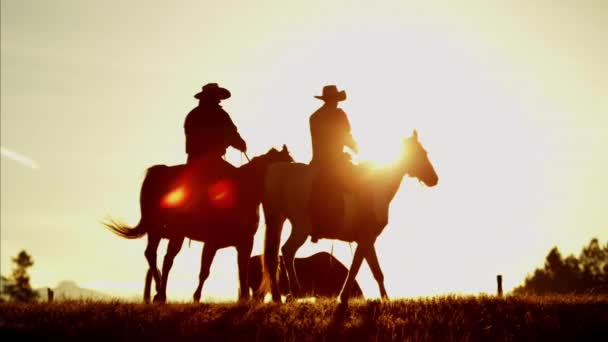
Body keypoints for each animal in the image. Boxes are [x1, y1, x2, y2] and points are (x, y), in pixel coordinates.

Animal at [105, 144, 294, 302]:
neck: (245, 191)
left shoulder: (245, 243)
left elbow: (242, 270)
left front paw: (244, 299)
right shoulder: (211, 243)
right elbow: (204, 272)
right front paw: (196, 297)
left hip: (164, 232)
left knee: (155, 255)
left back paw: (159, 291)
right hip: (167, 231)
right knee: (163, 259)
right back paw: (160, 293)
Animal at [260, 130, 436, 302]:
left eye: (424, 152)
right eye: (419, 153)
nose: (434, 179)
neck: (377, 186)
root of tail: (279, 171)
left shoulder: (368, 241)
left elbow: (376, 272)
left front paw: (385, 299)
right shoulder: (365, 239)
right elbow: (355, 268)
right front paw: (344, 297)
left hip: (278, 220)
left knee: (273, 257)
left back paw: (278, 297)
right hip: (301, 227)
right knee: (287, 251)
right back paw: (295, 291)